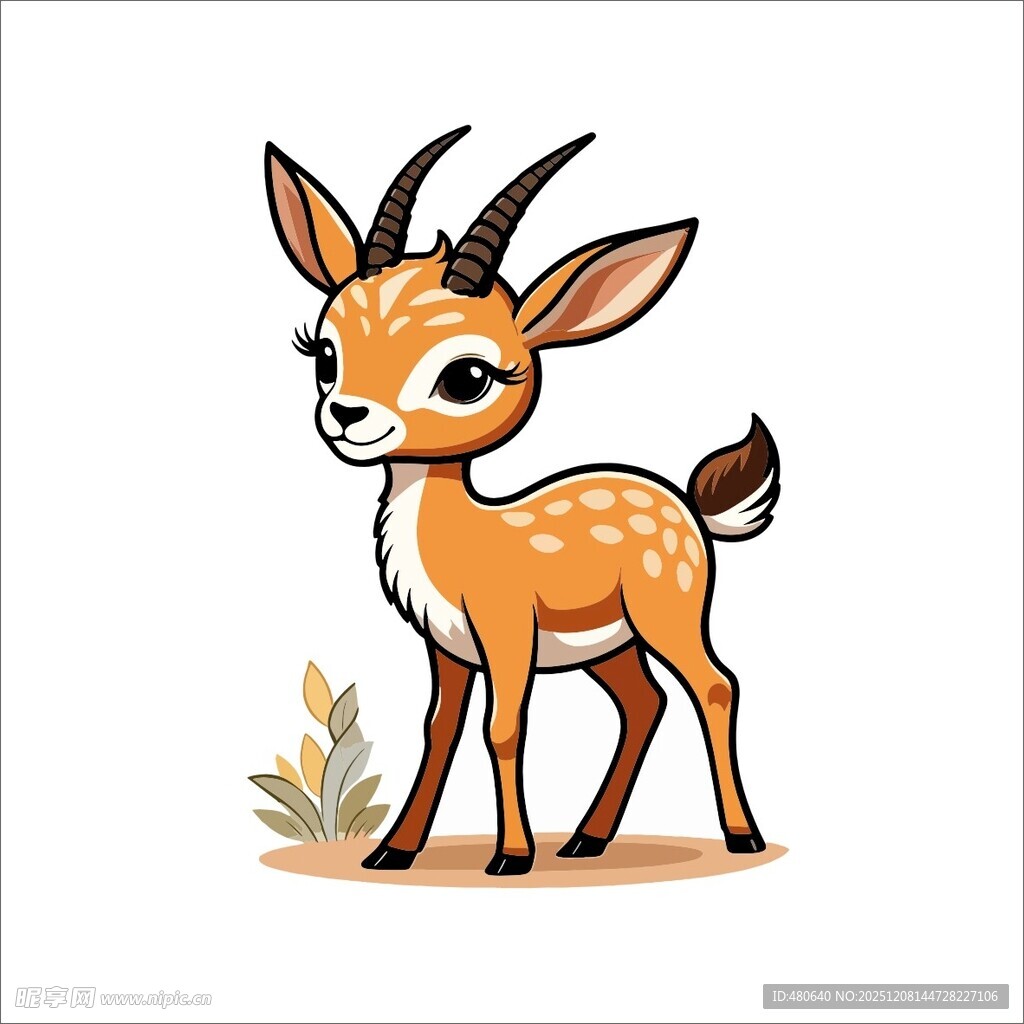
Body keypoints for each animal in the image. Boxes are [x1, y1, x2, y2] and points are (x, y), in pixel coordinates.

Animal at [264, 127, 780, 876]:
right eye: (325, 354)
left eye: (467, 376)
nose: (346, 417)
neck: (460, 536)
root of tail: (683, 502)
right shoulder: (447, 648)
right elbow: (440, 727)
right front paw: (394, 851)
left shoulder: (507, 636)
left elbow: (503, 728)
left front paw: (510, 855)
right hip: (611, 646)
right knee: (644, 702)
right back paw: (586, 840)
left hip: (668, 617)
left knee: (714, 685)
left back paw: (741, 836)